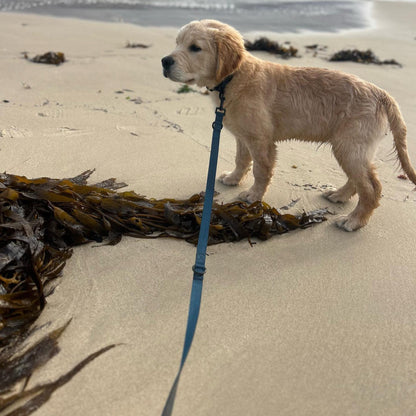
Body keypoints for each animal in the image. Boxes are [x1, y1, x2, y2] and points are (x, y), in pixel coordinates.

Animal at [161, 18, 414, 231]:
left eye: (195, 48)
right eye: (177, 43)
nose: (164, 61)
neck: (233, 77)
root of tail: (380, 93)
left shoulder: (261, 140)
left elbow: (260, 170)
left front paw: (253, 196)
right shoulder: (244, 136)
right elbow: (241, 160)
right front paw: (233, 179)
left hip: (349, 145)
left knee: (371, 188)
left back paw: (354, 220)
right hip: (352, 148)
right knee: (361, 179)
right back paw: (340, 195)